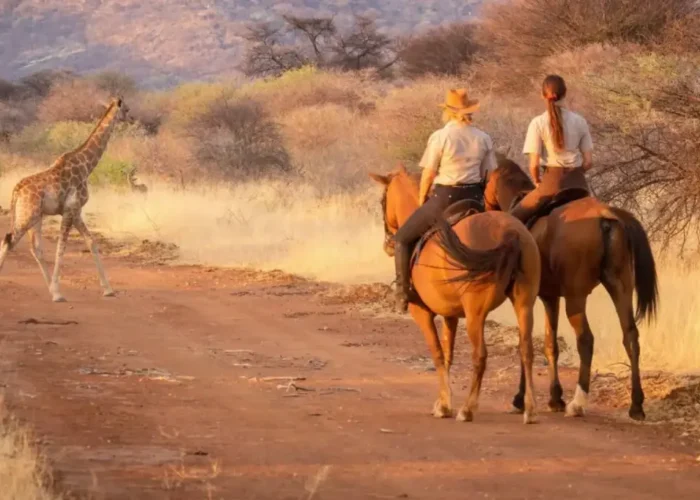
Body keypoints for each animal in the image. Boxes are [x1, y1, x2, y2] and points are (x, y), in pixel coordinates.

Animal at [369, 164, 542, 424]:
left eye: (382, 200)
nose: (388, 244)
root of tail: (510, 232)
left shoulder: (423, 314)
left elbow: (438, 354)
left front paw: (444, 406)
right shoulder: (450, 316)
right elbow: (448, 354)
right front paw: (442, 401)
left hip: (476, 314)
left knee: (480, 356)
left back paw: (467, 409)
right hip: (524, 304)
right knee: (526, 351)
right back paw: (530, 410)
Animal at [484, 154, 658, 421]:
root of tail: (607, 217)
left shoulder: (528, 298)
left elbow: (527, 342)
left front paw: (520, 399)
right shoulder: (550, 297)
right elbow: (550, 344)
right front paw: (555, 397)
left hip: (576, 298)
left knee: (586, 340)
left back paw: (578, 403)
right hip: (620, 288)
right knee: (630, 336)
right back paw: (636, 405)